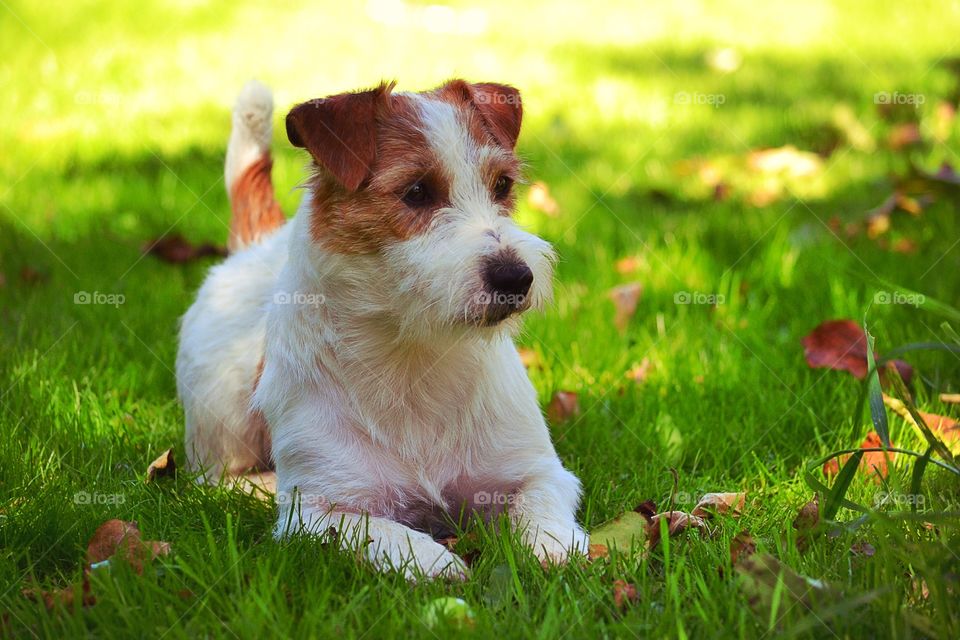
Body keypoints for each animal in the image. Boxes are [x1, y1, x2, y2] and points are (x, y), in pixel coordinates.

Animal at [176, 77, 588, 576]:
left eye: (503, 185)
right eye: (417, 191)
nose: (515, 277)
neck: (413, 356)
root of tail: (258, 242)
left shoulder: (542, 472)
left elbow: (540, 507)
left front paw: (552, 546)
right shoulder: (317, 513)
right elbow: (384, 533)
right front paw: (435, 561)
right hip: (220, 419)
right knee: (216, 479)